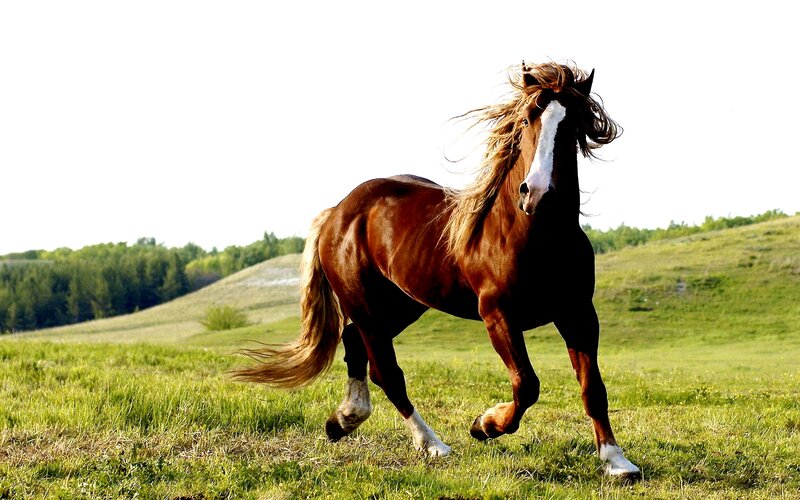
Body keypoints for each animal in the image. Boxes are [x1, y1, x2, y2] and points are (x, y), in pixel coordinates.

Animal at [234, 61, 641, 480]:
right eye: (528, 117)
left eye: (574, 122)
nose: (538, 194)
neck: (535, 236)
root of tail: (339, 212)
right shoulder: (497, 314)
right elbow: (526, 384)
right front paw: (484, 425)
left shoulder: (578, 313)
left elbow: (593, 388)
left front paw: (617, 461)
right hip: (366, 306)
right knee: (387, 373)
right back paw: (433, 445)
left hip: (402, 305)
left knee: (354, 344)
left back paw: (343, 420)